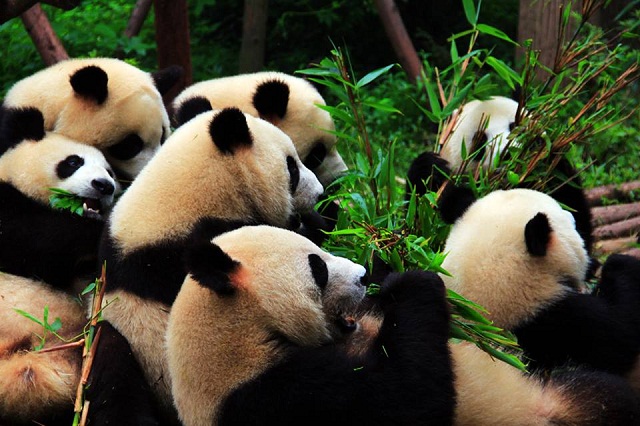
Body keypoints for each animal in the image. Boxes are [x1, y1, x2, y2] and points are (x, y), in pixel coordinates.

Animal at [166, 225, 455, 426]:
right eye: (318, 269)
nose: (362, 276)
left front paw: (389, 250)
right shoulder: (277, 399)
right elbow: (404, 396)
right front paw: (415, 281)